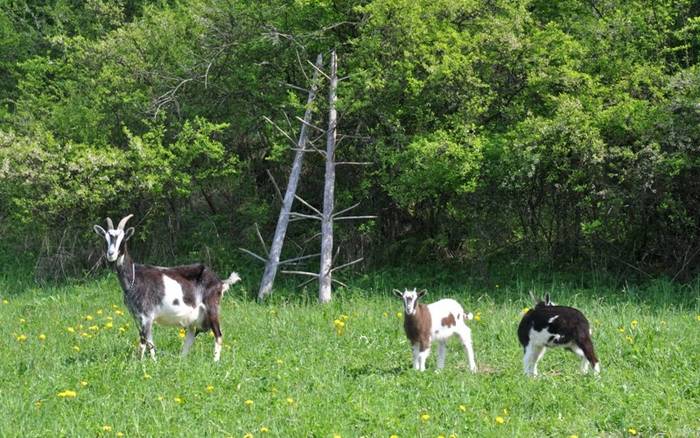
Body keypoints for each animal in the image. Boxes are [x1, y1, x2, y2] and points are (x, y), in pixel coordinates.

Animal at [93, 214, 241, 362]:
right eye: (105, 238)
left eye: (123, 239)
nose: (111, 254)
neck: (134, 278)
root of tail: (220, 281)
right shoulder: (139, 317)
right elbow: (150, 343)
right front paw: (154, 362)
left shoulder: (146, 316)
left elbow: (143, 343)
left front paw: (140, 364)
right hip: (193, 318)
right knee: (191, 336)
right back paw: (182, 360)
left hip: (212, 308)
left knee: (218, 334)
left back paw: (215, 361)